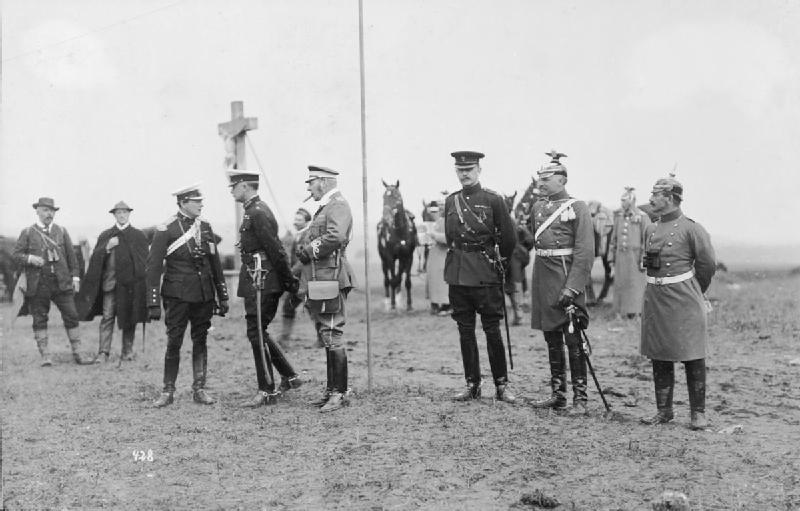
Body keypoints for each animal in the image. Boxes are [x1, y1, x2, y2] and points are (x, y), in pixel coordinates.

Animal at [378, 181, 418, 312]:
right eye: (384, 197)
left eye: (396, 196)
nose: (386, 216)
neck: (400, 231)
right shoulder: (390, 257)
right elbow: (393, 280)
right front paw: (393, 305)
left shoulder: (408, 257)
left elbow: (405, 281)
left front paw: (409, 305)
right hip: (384, 261)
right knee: (387, 280)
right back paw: (388, 303)